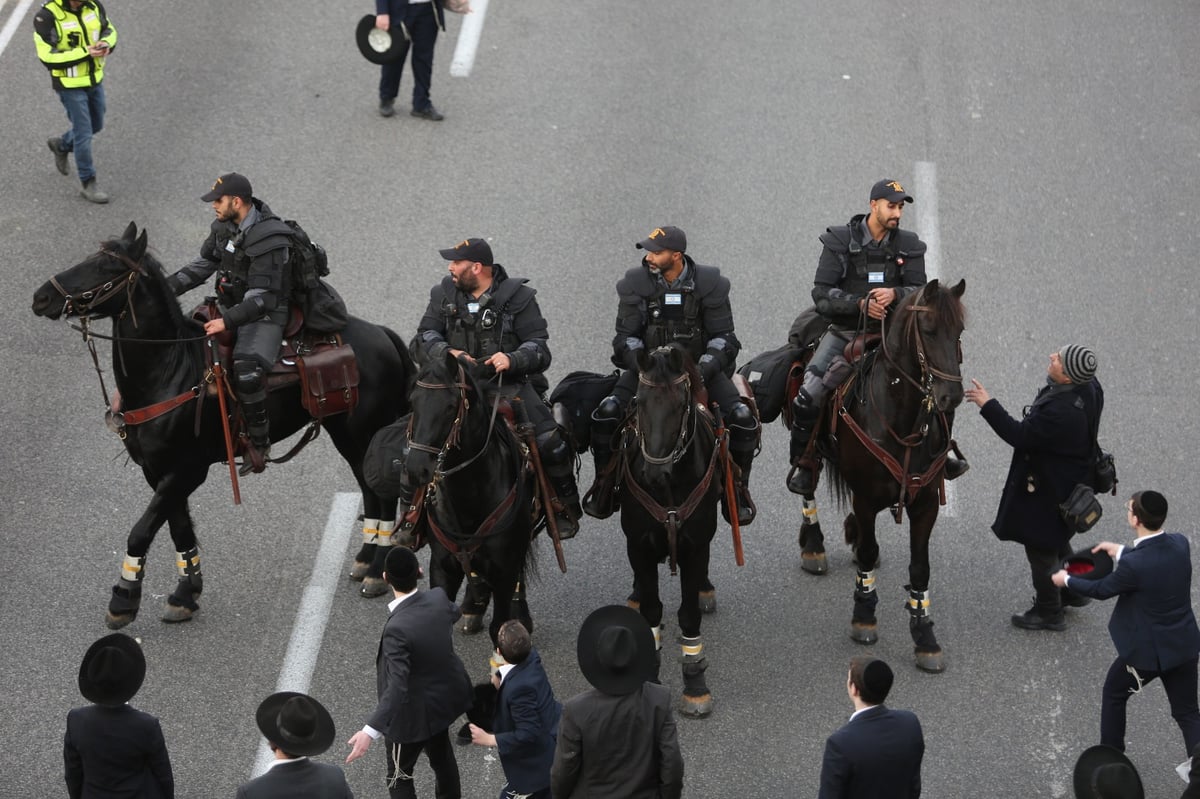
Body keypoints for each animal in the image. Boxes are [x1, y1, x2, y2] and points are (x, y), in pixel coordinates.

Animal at [30, 220, 415, 623]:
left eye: (106, 268)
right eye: (91, 257)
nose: (41, 298)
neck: (170, 370)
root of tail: (382, 333)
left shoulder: (186, 470)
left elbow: (141, 531)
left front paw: (123, 600)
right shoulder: (158, 471)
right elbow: (180, 531)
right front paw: (185, 594)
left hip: (364, 432)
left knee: (382, 493)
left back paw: (377, 571)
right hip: (347, 434)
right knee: (369, 489)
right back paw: (365, 559)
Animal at [403, 352, 535, 643]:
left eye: (450, 406)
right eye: (413, 401)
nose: (417, 469)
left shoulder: (504, 570)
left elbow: (501, 627)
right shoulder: (442, 568)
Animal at [619, 343, 720, 715]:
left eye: (679, 405)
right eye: (639, 401)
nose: (653, 473)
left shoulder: (696, 547)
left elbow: (689, 616)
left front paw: (695, 686)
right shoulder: (639, 546)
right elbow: (652, 611)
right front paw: (648, 676)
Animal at [796, 277, 964, 667]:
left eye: (960, 331)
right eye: (929, 331)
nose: (952, 396)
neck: (901, 422)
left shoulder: (925, 503)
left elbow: (920, 568)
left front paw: (925, 636)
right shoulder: (866, 497)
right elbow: (870, 552)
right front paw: (864, 617)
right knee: (806, 476)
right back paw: (813, 545)